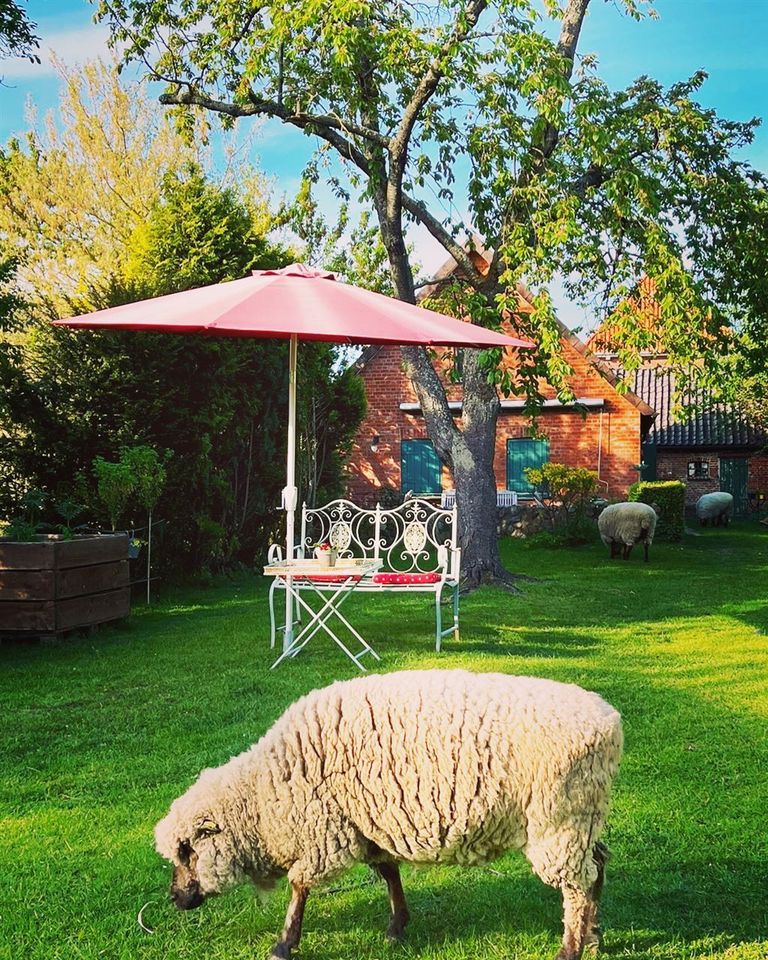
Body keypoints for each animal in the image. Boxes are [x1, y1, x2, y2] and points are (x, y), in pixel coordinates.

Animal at [154, 668, 624, 960]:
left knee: (576, 886)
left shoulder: (325, 832)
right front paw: (398, 925)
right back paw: (594, 934)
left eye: (186, 850)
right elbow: (388, 872)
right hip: (583, 817)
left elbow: (299, 887)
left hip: (558, 822)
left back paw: (570, 948)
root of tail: (610, 723)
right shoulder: (370, 825)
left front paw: (284, 943)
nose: (175, 899)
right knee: (598, 864)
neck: (267, 794)